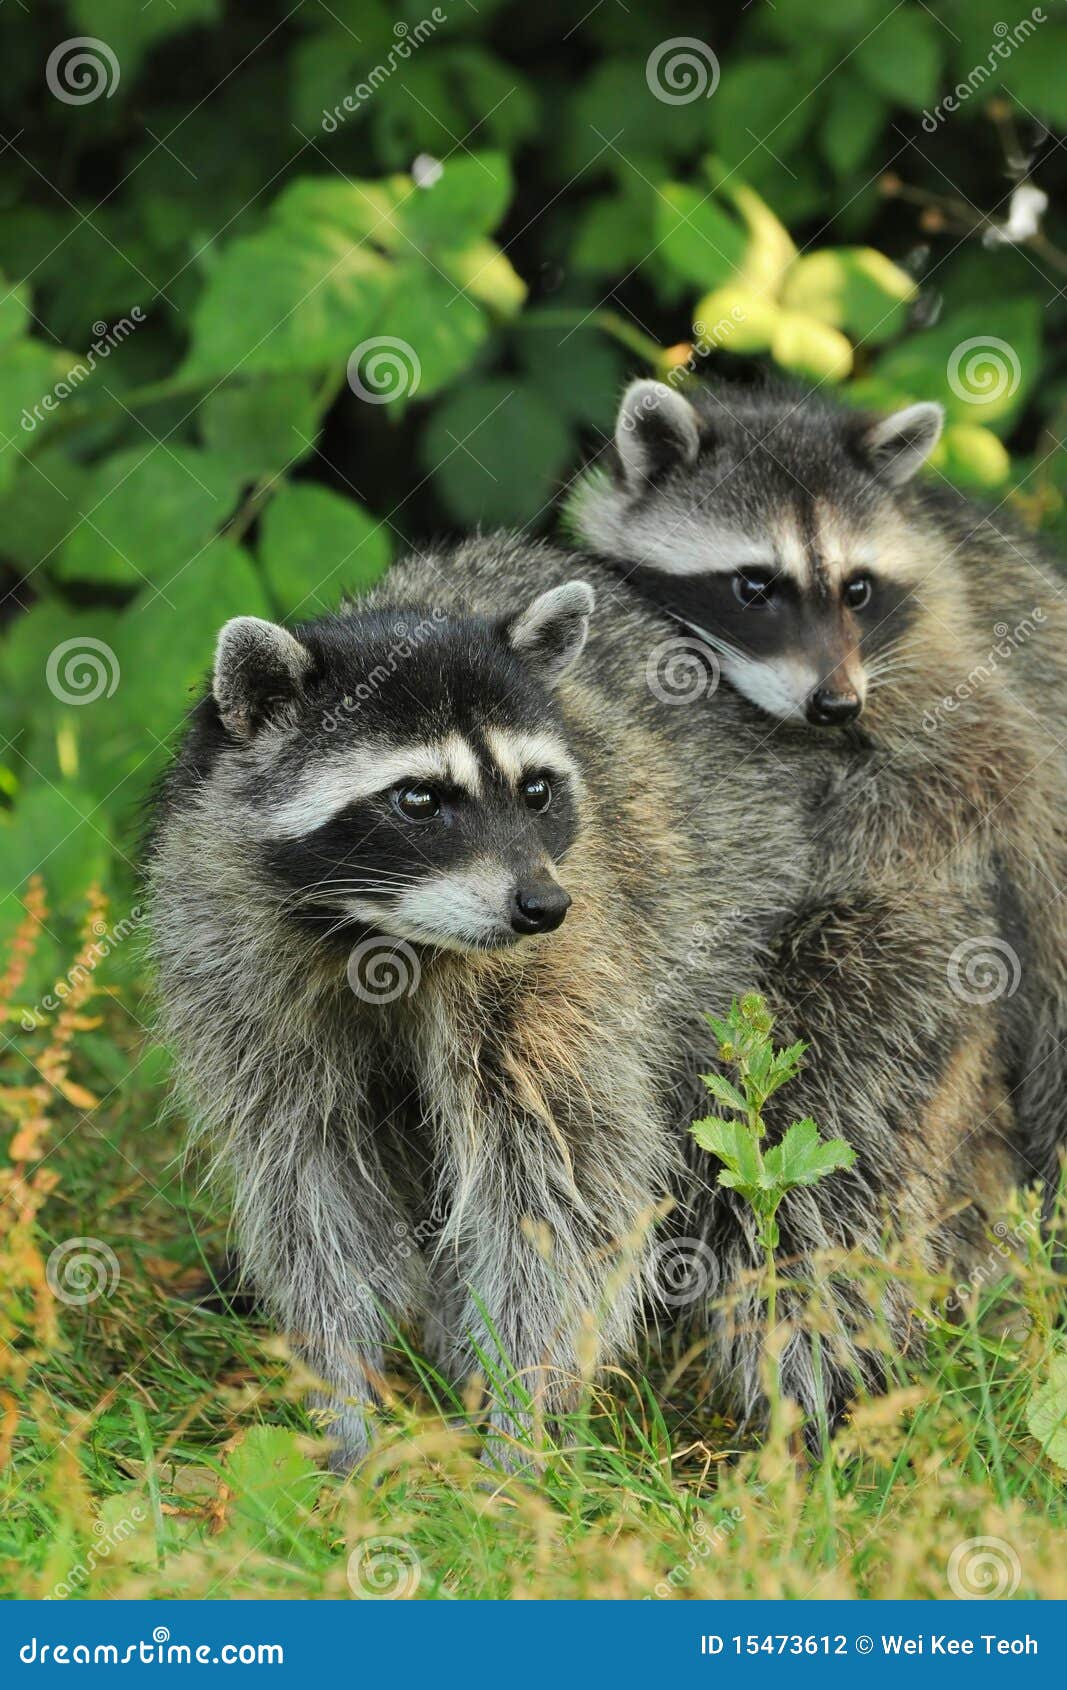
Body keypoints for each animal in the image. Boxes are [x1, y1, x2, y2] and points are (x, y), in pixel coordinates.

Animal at [147, 536, 814, 1469]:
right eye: (419, 799)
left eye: (535, 790)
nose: (541, 906)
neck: (380, 937)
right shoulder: (237, 970)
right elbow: (310, 1188)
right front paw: (343, 1399)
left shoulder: (563, 970)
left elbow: (558, 1195)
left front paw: (518, 1424)